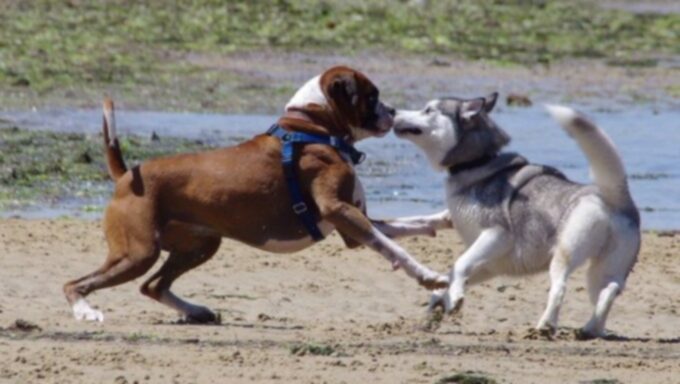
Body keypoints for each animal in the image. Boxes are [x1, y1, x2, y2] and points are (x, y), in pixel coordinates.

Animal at [63, 66, 452, 320]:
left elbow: (411, 224)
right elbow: (395, 248)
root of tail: (126, 176)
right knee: (76, 283)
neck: (312, 127)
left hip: (200, 246)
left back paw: (195, 310)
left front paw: (444, 220)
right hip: (138, 253)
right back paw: (85, 312)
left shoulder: (355, 225)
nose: (393, 112)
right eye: (372, 96)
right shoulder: (341, 211)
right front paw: (428, 276)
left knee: (153, 286)